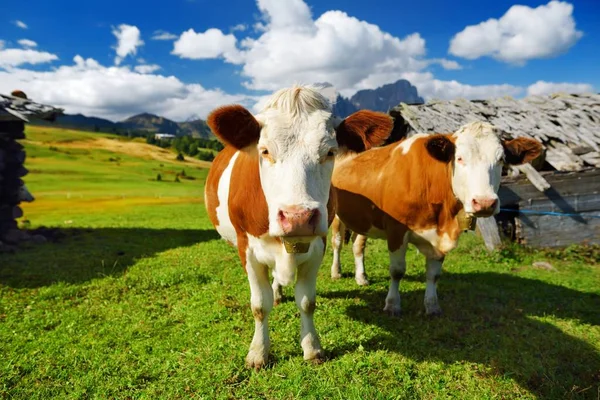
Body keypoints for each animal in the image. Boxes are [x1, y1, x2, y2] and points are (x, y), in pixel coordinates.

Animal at [205, 85, 394, 368]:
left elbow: (307, 302)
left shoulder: (317, 247)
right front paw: (258, 353)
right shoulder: (247, 249)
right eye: (265, 151)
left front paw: (312, 348)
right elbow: (259, 305)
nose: (298, 217)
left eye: (330, 152)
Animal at [330, 121, 540, 316]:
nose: (485, 202)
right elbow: (397, 271)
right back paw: (336, 272)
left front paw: (432, 306)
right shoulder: (396, 231)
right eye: (459, 158)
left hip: (363, 220)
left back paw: (361, 277)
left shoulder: (441, 235)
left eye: (501, 159)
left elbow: (433, 275)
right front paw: (392, 305)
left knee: (358, 245)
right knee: (337, 243)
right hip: (335, 217)